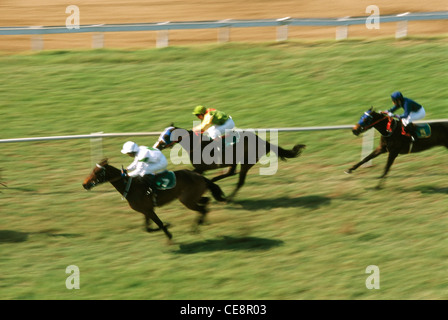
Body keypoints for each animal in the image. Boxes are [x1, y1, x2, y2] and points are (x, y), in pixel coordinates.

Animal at [82, 159, 226, 239]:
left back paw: (196, 227)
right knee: (206, 202)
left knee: (202, 209)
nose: (84, 184)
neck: (131, 186)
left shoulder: (149, 210)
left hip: (187, 200)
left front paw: (169, 233)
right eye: (92, 170)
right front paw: (167, 226)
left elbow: (159, 224)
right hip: (192, 198)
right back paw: (201, 223)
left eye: (97, 172)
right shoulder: (146, 210)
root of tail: (200, 176)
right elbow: (148, 228)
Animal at [153, 125, 304, 199]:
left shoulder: (201, 168)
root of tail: (263, 142)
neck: (196, 145)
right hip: (235, 161)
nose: (157, 145)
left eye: (166, 135)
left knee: (239, 180)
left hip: (246, 163)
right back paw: (217, 184)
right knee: (231, 173)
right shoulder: (202, 169)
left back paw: (229, 197)